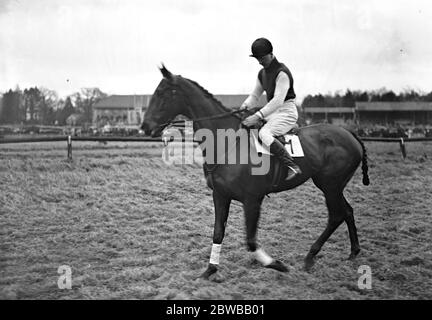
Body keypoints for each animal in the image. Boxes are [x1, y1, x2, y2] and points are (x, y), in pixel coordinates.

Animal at [140, 65, 370, 280]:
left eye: (162, 93)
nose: (145, 127)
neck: (227, 143)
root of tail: (350, 133)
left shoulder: (252, 200)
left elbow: (250, 241)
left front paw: (277, 264)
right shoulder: (220, 195)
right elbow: (218, 233)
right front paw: (209, 270)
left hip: (330, 185)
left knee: (336, 215)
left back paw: (310, 256)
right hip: (333, 186)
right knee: (347, 211)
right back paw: (352, 252)